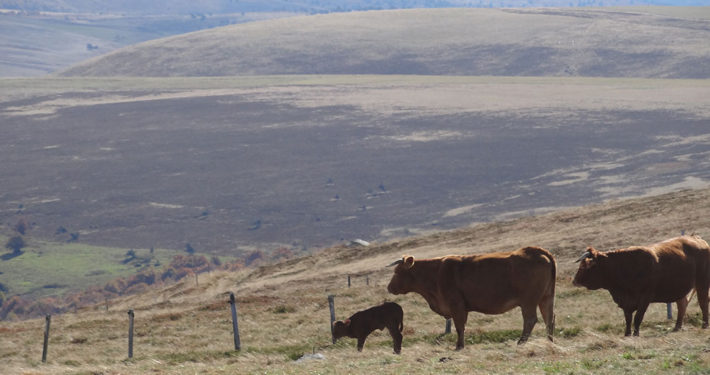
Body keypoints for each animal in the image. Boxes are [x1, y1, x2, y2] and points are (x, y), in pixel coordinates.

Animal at [386, 248, 560, 352]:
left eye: (397, 271)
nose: (389, 287)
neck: (435, 273)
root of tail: (537, 251)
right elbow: (461, 327)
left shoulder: (456, 305)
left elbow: (459, 327)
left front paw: (459, 346)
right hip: (546, 298)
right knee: (549, 318)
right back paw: (550, 342)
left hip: (528, 301)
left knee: (530, 320)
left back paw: (521, 343)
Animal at [576, 235, 708, 338]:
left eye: (585, 267)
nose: (575, 280)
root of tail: (696, 238)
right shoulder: (626, 302)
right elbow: (628, 318)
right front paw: (627, 334)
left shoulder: (645, 297)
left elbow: (638, 317)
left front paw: (636, 334)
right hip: (680, 289)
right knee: (682, 304)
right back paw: (677, 327)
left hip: (702, 282)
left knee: (703, 302)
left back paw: (704, 324)